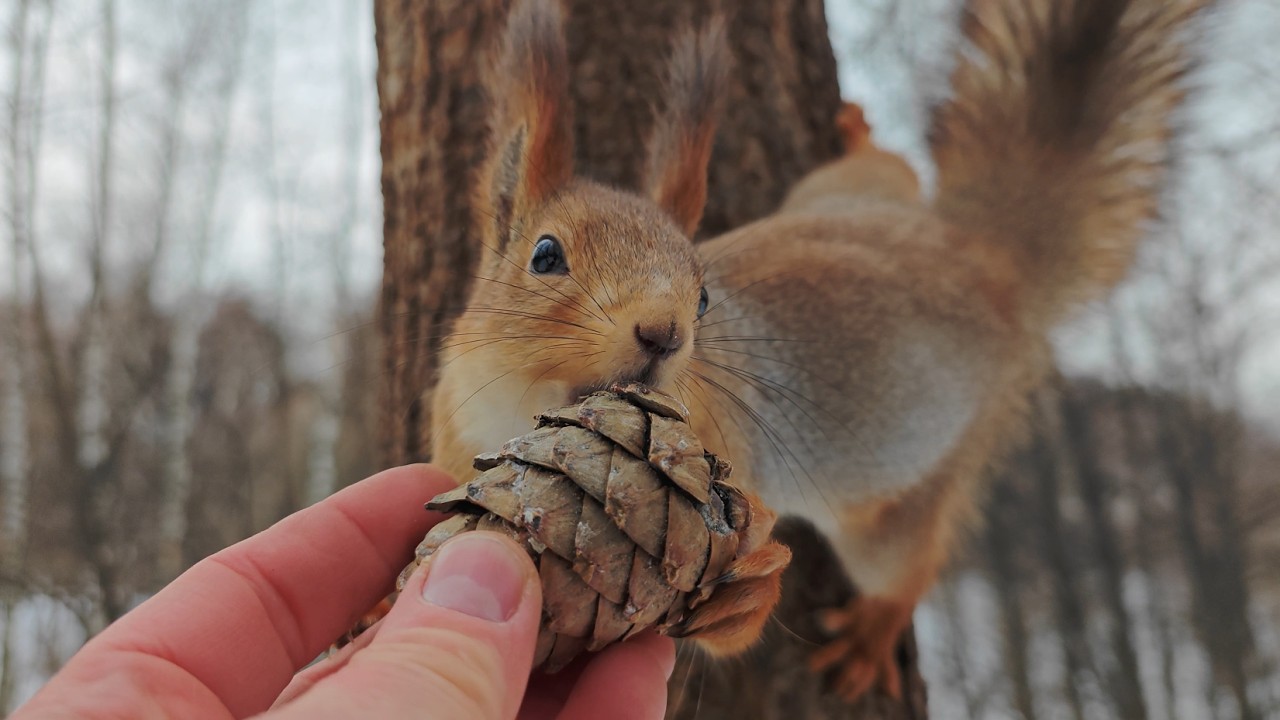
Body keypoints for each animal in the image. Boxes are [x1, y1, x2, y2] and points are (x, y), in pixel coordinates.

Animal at [429, 0, 1212, 702]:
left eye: (704, 295)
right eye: (545, 255)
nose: (664, 332)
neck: (523, 411)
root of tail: (985, 260)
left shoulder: (736, 470)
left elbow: (737, 620)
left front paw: (745, 596)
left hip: (899, 505)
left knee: (911, 565)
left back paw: (871, 633)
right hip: (834, 195)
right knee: (890, 171)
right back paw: (863, 136)